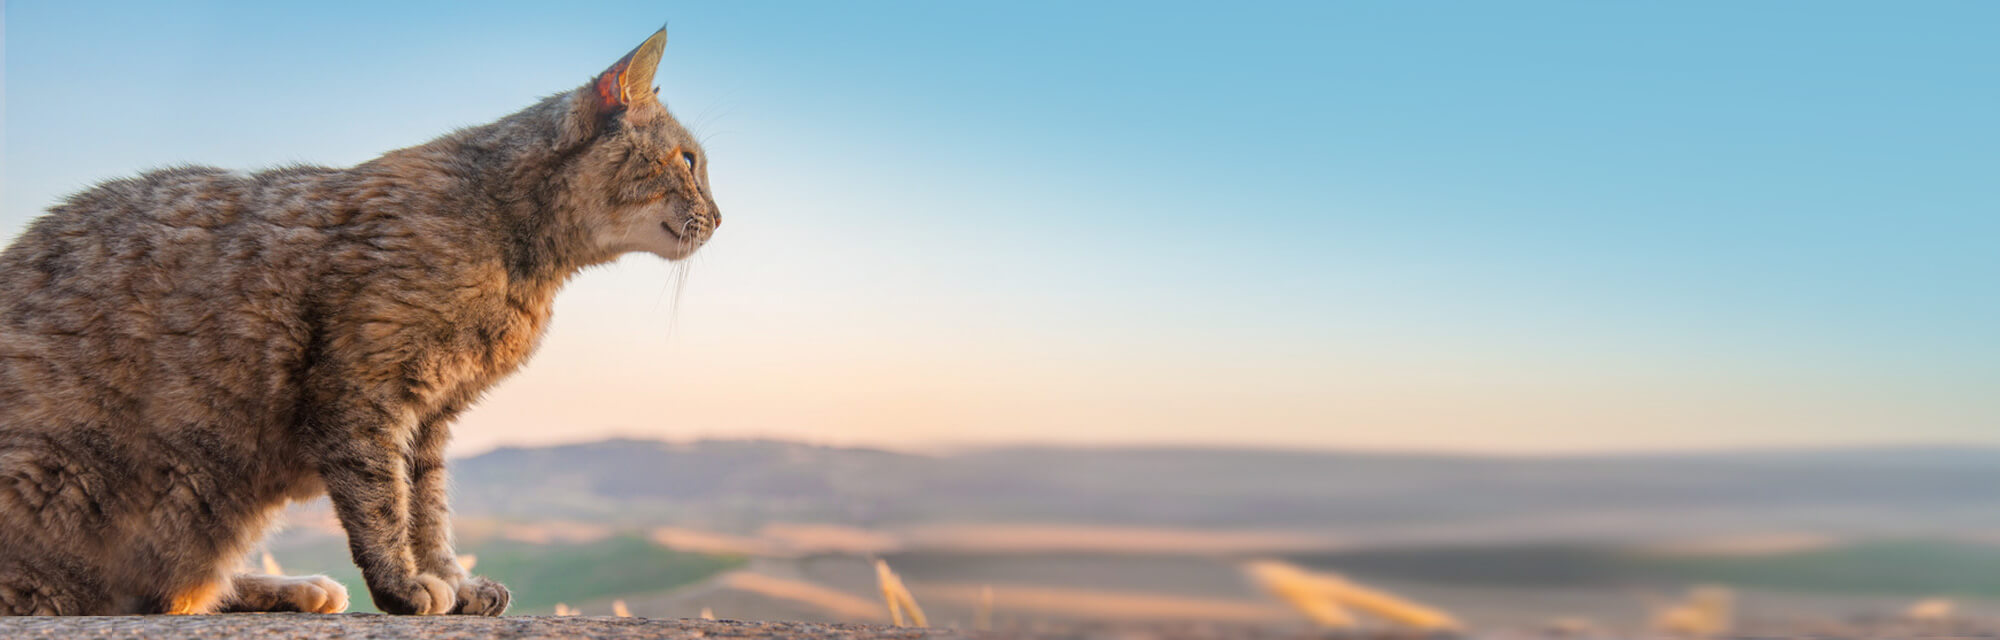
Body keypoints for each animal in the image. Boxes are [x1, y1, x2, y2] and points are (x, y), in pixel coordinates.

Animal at [0, 27, 720, 616]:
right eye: (689, 161)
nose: (720, 217)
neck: (523, 261)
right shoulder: (362, 391)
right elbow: (381, 499)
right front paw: (403, 586)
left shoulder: (432, 416)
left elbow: (428, 509)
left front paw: (453, 581)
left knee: (174, 593)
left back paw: (295, 589)